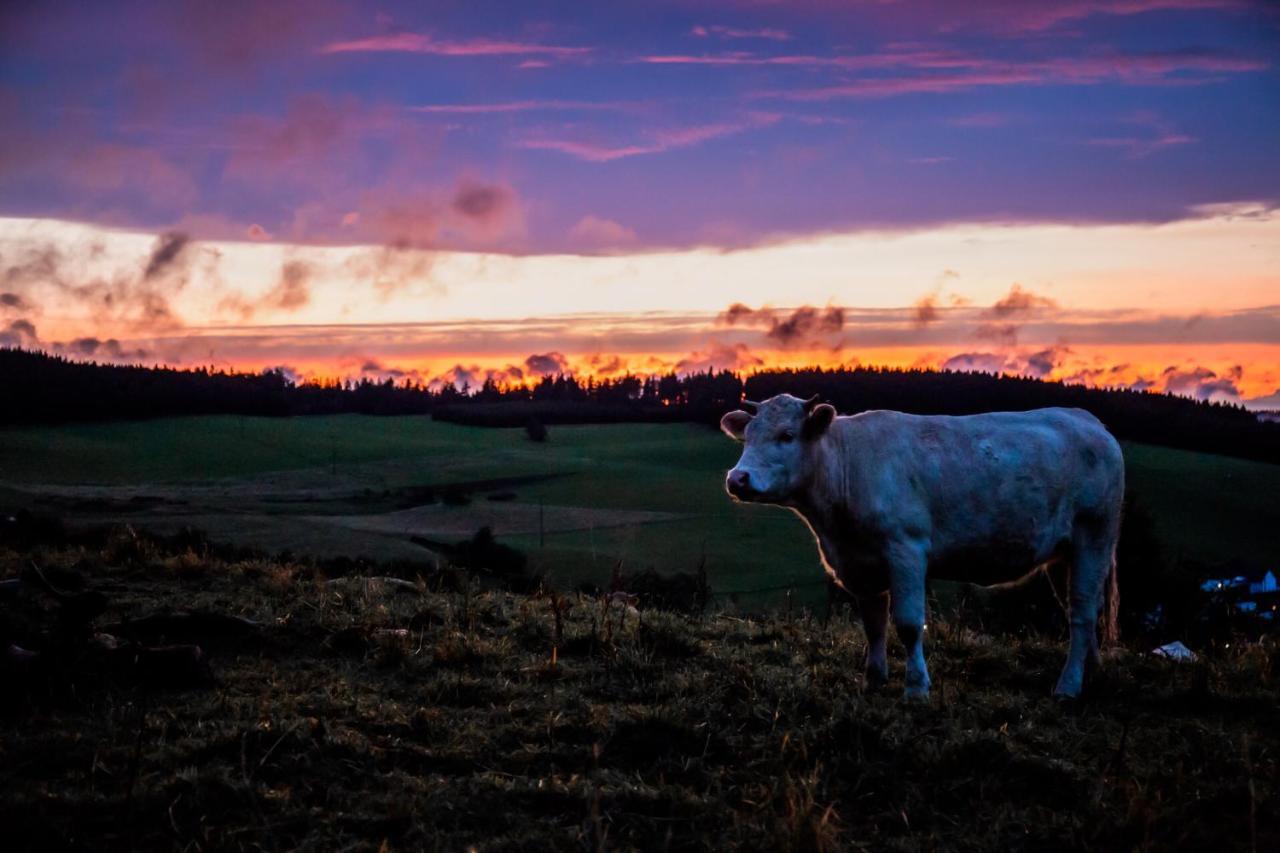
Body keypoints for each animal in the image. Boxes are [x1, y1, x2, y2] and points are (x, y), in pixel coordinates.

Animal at [727, 391, 1126, 696]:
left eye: (787, 435)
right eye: (747, 437)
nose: (737, 478)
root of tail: (1088, 420)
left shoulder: (906, 550)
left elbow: (907, 623)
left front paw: (916, 687)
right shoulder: (860, 563)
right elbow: (873, 623)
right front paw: (873, 680)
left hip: (1094, 537)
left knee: (1081, 613)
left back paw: (1069, 686)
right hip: (1063, 555)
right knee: (1085, 611)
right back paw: (1092, 672)